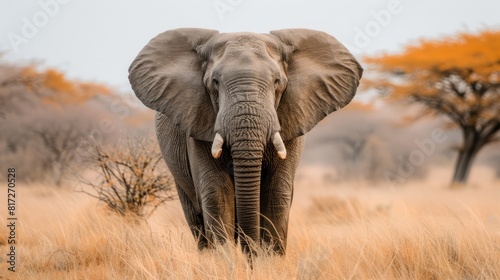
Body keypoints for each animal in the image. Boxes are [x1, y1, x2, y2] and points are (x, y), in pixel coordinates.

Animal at [129, 27, 362, 254]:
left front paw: (268, 260)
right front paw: (226, 261)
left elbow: (276, 194)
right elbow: (217, 194)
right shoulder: (198, 124)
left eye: (277, 82)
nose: (250, 251)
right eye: (215, 83)